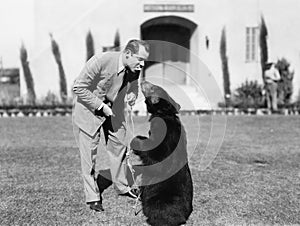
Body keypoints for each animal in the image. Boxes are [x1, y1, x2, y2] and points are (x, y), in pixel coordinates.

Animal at [130, 81, 193, 226]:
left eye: (153, 87)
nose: (143, 81)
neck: (165, 114)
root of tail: (183, 218)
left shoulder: (163, 134)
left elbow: (153, 152)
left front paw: (135, 139)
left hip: (160, 200)